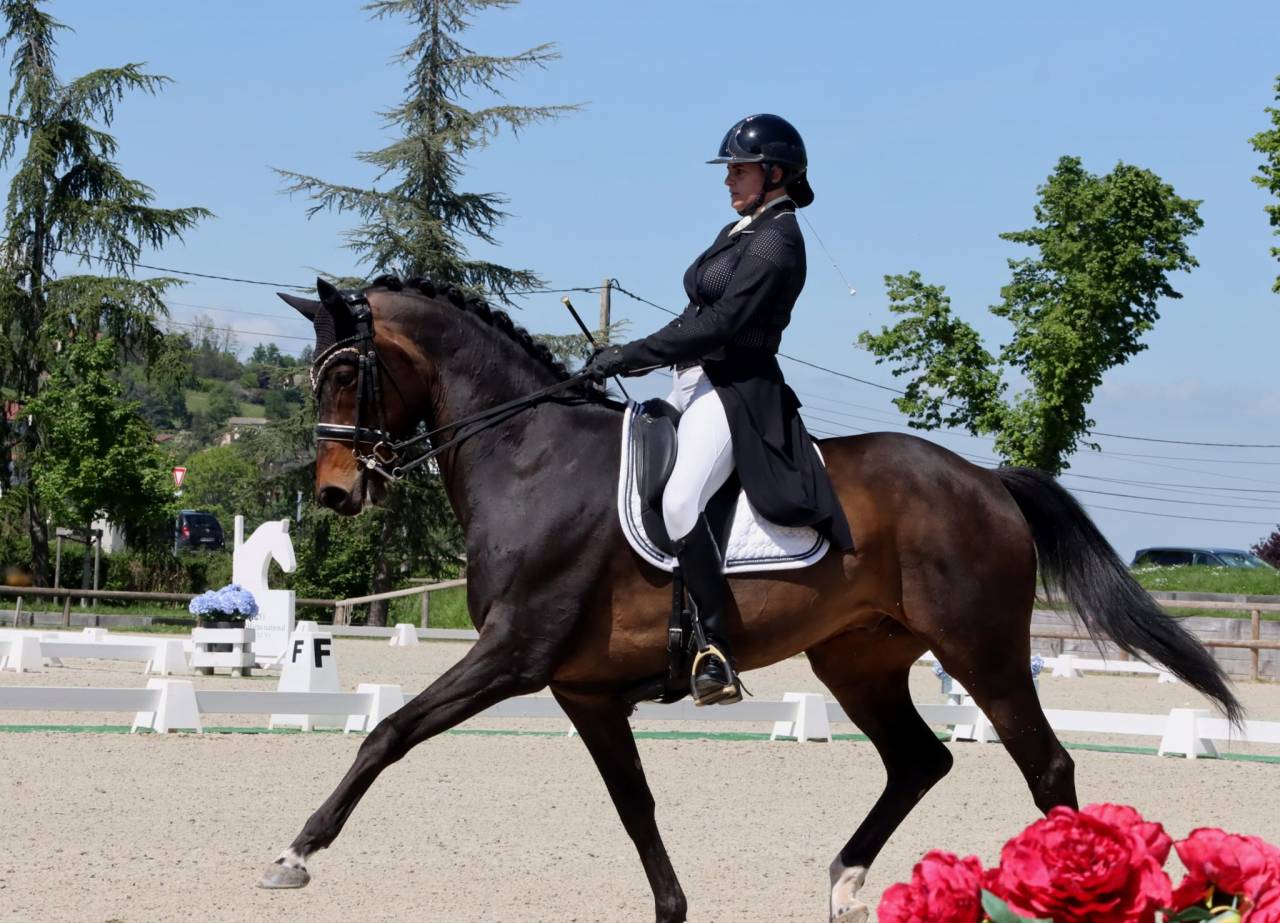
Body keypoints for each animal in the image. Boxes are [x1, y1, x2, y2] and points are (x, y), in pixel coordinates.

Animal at [258, 276, 1240, 923]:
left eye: (345, 372)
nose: (338, 493)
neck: (530, 457)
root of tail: (986, 480)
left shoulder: (513, 653)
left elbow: (387, 733)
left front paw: (294, 853)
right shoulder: (583, 690)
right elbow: (636, 807)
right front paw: (673, 908)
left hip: (982, 648)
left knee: (1048, 769)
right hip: (857, 657)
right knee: (920, 759)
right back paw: (844, 881)